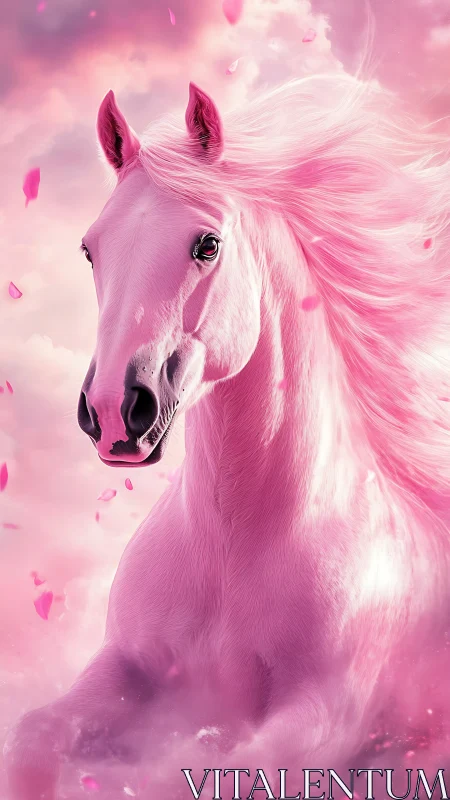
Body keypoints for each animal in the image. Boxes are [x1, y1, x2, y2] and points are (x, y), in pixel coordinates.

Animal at [5, 73, 450, 799]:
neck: (232, 549)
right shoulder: (121, 666)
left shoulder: (323, 714)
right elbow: (31, 740)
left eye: (206, 245)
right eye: (91, 248)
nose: (113, 412)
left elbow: (198, 771)